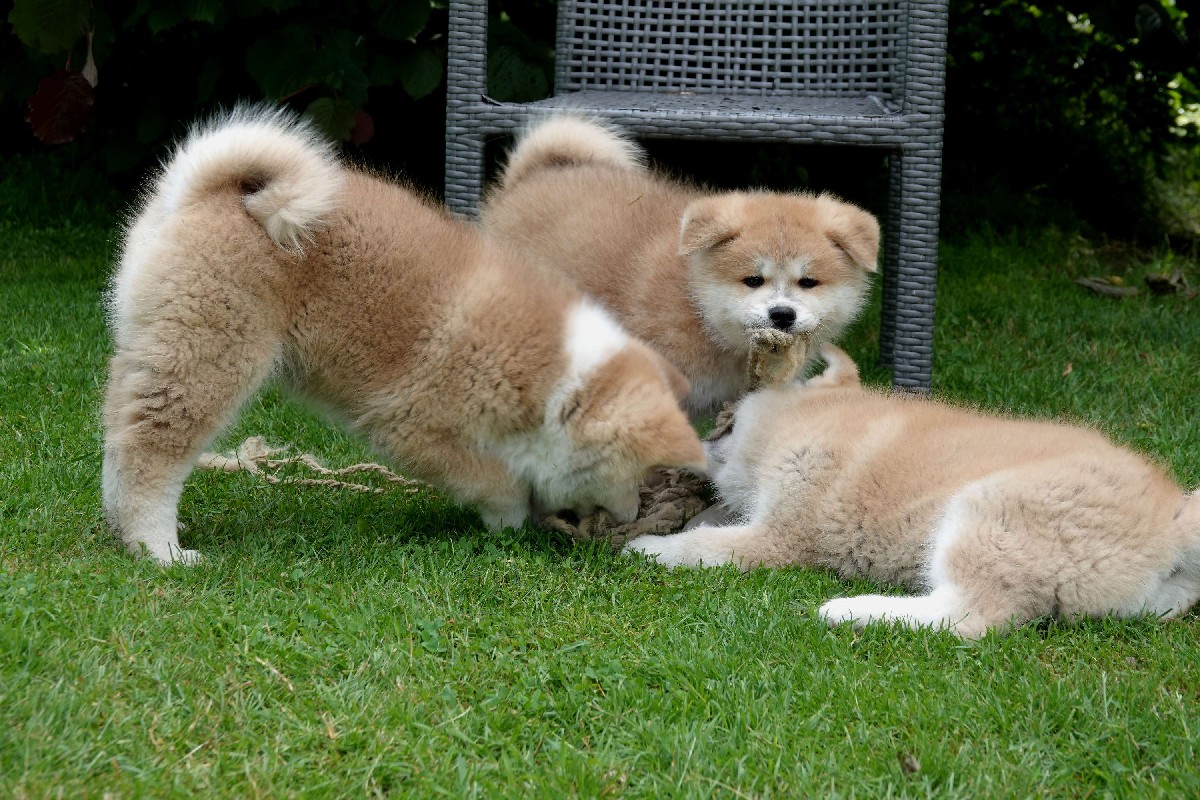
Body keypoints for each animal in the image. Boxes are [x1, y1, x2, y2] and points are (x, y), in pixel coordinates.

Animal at [102, 107, 705, 565]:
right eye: (634, 472)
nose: (631, 516)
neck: (556, 379)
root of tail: (211, 191)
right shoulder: (416, 428)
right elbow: (496, 482)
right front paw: (512, 520)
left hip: (155, 343)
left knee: (118, 434)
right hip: (212, 352)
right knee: (152, 452)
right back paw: (159, 549)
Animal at [626, 345, 1200, 638]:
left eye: (726, 421)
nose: (695, 439)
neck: (809, 421)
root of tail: (1173, 524)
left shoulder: (782, 536)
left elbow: (704, 547)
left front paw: (648, 547)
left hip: (985, 519)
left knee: (968, 618)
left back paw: (851, 609)